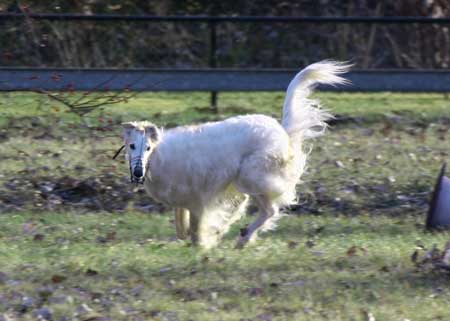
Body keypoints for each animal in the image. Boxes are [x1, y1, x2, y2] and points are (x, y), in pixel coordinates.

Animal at [118, 61, 348, 249]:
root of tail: (283, 132)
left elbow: (195, 230)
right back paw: (234, 232)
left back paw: (242, 238)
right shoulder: (184, 201)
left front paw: (202, 244)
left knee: (270, 210)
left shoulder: (198, 198)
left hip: (251, 176)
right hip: (242, 181)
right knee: (249, 207)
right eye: (131, 146)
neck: (160, 156)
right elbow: (182, 228)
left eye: (148, 148)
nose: (137, 173)